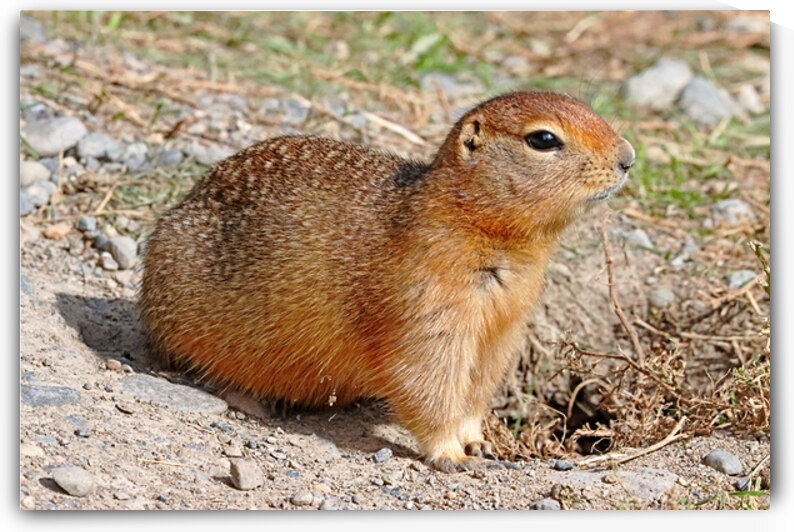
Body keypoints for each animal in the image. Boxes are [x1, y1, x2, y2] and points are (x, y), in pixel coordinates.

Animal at [139, 91, 635, 472]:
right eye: (543, 139)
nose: (628, 158)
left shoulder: (504, 327)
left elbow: (478, 386)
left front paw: (479, 440)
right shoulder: (428, 303)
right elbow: (426, 378)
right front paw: (453, 455)